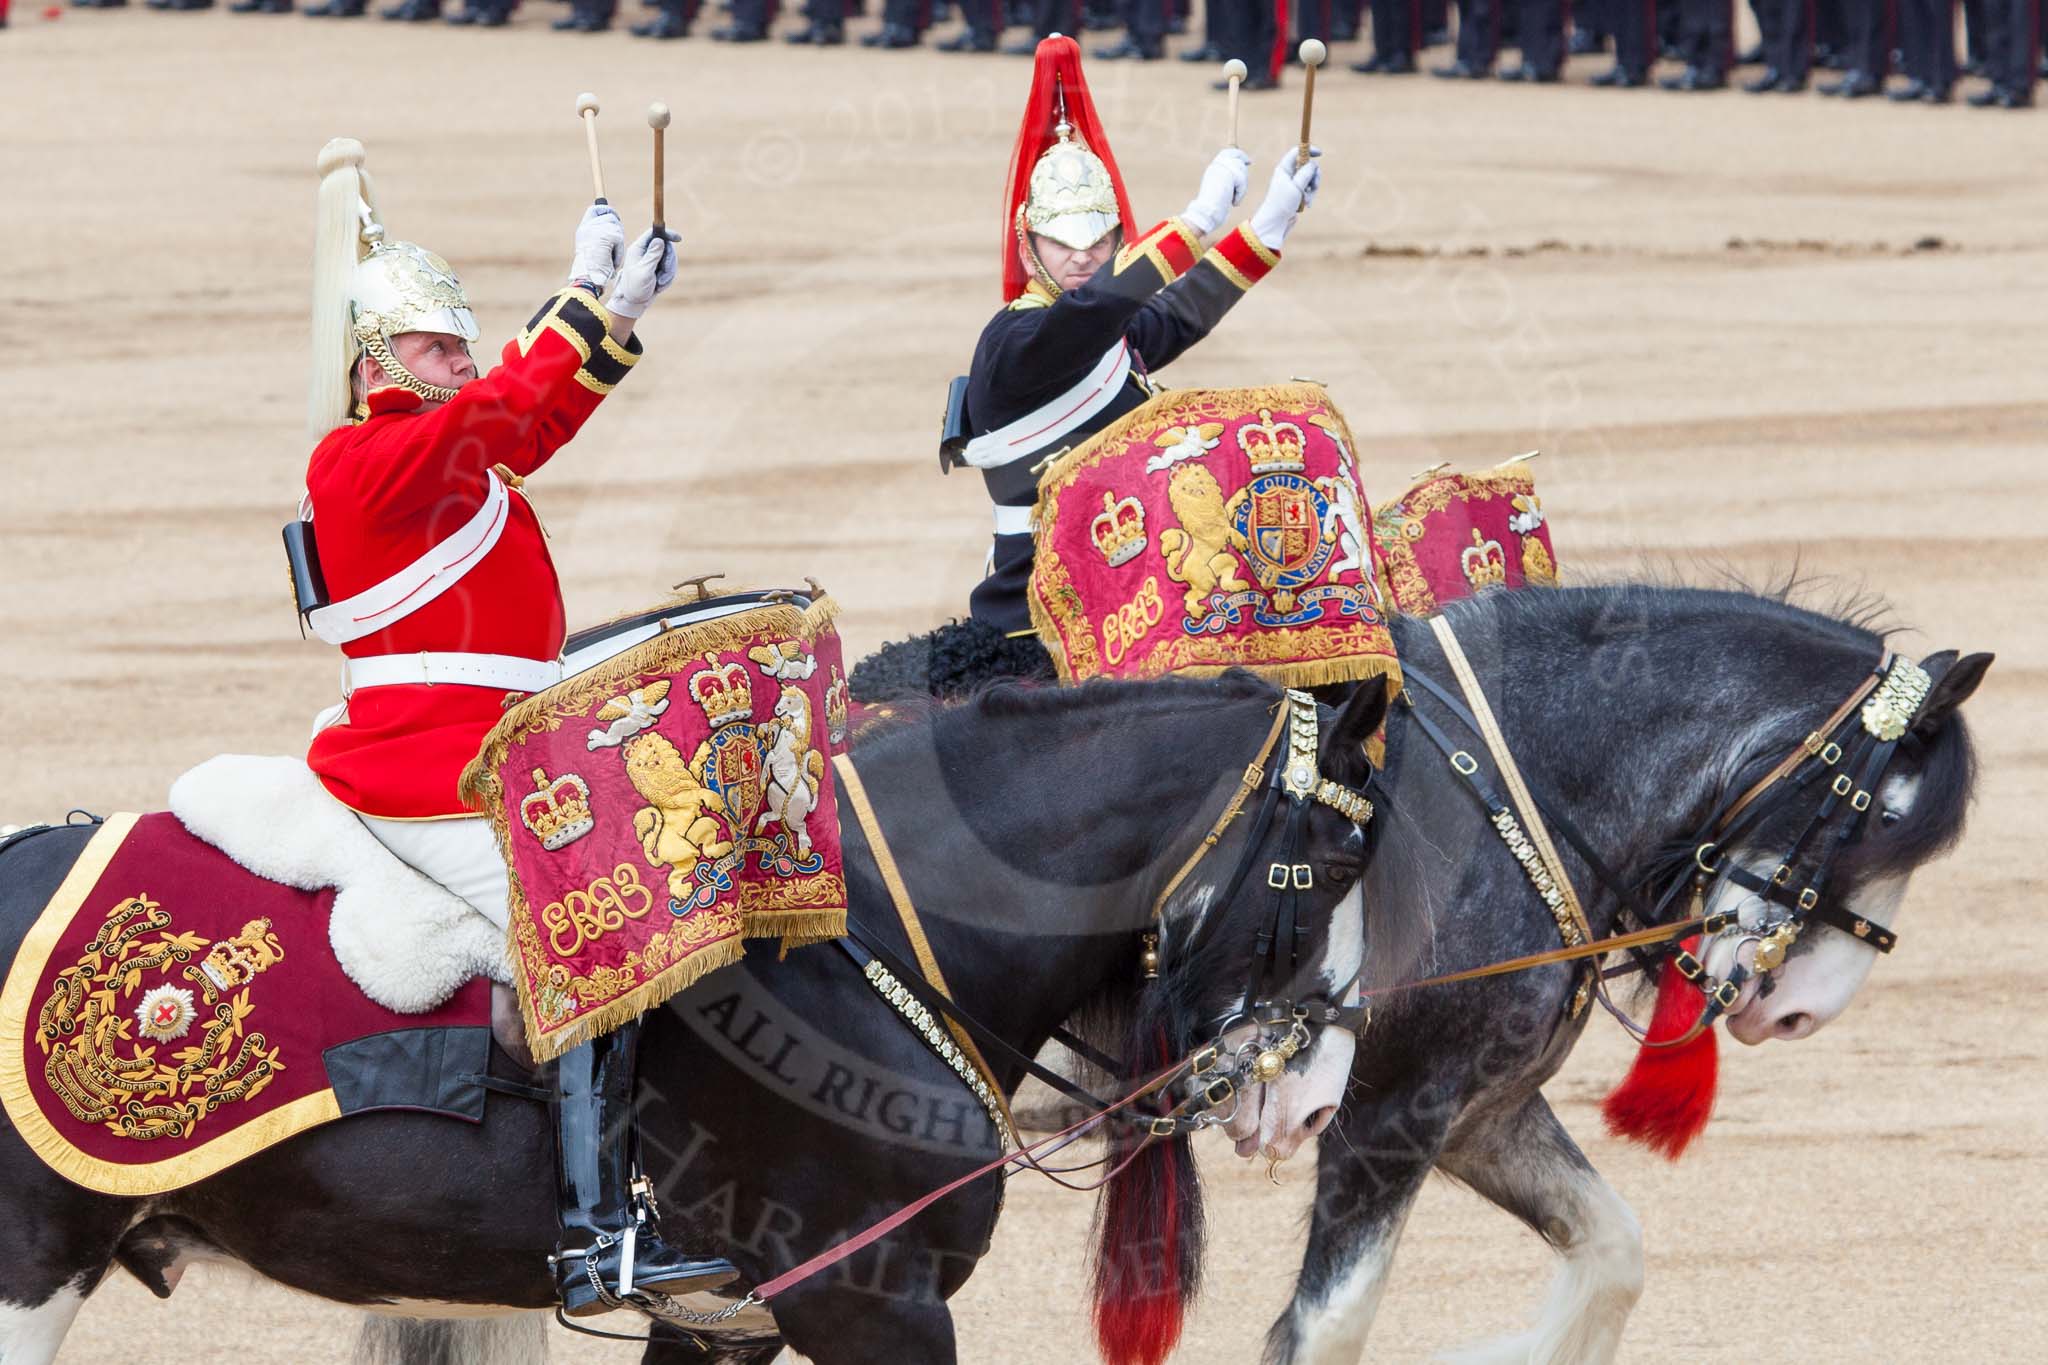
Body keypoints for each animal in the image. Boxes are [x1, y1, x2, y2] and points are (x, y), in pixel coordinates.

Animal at [1261, 583, 1989, 1364]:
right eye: (1886, 817)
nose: (1800, 1011)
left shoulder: (1480, 1109)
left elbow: (1615, 1253)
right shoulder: (1391, 1109)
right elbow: (1333, 1321)